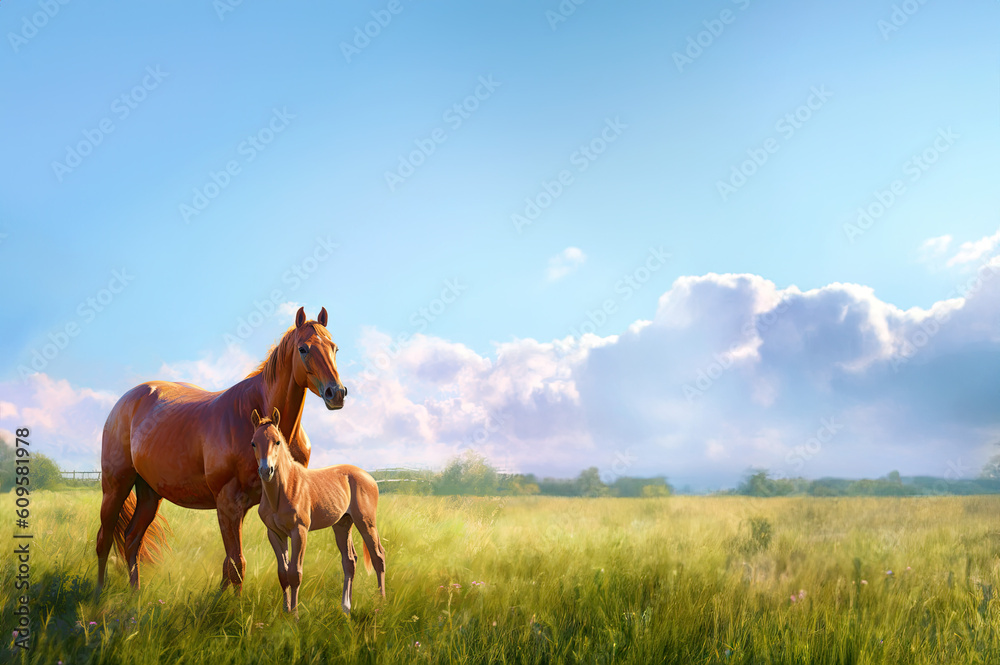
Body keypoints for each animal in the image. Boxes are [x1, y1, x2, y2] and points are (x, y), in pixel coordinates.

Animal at [96, 307, 347, 594]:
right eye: (303, 349)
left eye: (334, 348)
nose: (337, 393)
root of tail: (124, 402)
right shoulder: (228, 503)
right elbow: (237, 564)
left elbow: (246, 565)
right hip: (115, 487)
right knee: (104, 540)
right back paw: (99, 593)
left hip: (149, 493)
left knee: (131, 540)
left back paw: (135, 593)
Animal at [251, 407, 385, 616]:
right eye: (253, 443)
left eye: (277, 441)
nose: (266, 471)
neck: (284, 490)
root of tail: (369, 478)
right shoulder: (275, 534)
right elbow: (283, 573)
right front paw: (285, 613)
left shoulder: (299, 531)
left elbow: (295, 573)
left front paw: (295, 616)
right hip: (342, 524)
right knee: (349, 561)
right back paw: (346, 609)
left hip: (366, 522)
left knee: (378, 557)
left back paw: (381, 605)